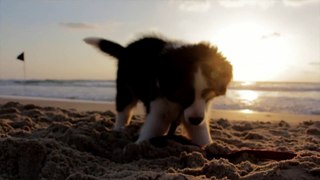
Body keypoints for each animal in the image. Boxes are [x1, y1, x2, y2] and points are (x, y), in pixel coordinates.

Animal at [84, 34, 231, 146]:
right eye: (182, 94)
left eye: (208, 93)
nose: (196, 120)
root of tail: (126, 49)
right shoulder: (158, 107)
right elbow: (152, 129)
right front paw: (139, 145)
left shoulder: (199, 110)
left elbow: (202, 135)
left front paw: (209, 146)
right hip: (125, 90)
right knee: (123, 111)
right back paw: (119, 129)